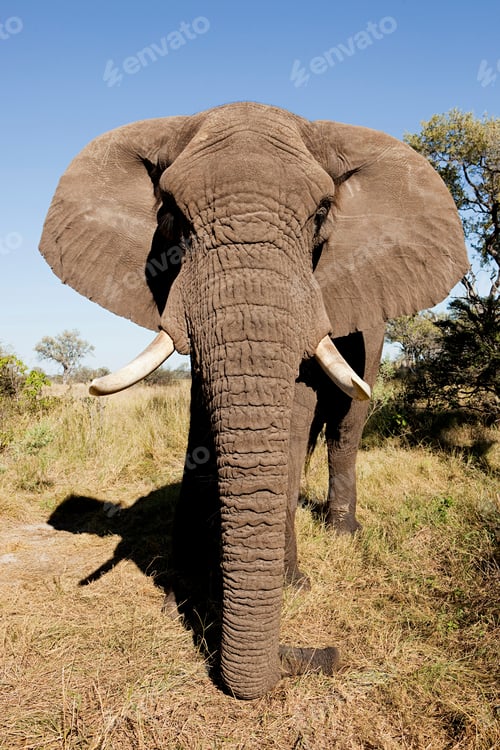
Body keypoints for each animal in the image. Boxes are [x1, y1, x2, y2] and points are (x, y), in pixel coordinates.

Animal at [39, 102, 468, 700]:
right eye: (171, 214)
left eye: (321, 213)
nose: (321, 654)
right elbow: (204, 421)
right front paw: (184, 587)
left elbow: (295, 411)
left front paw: (293, 584)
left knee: (347, 425)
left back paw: (342, 533)